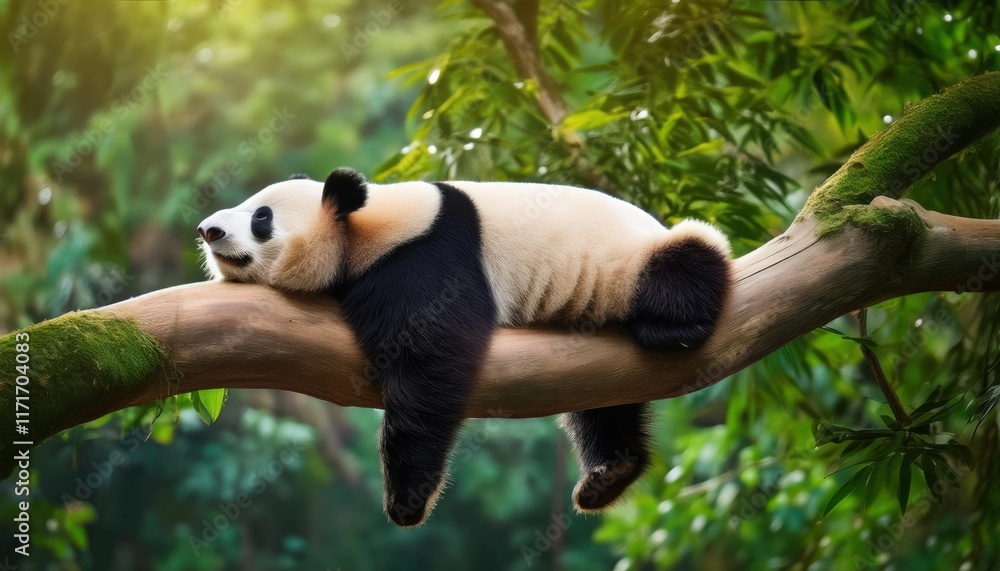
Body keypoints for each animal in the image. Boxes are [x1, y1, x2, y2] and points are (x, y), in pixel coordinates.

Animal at [197, 168, 731, 527]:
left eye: (261, 217)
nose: (208, 230)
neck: (367, 226)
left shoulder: (428, 257)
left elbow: (431, 358)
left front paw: (407, 500)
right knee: (602, 401)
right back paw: (609, 474)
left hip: (636, 258)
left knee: (690, 255)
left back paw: (672, 328)